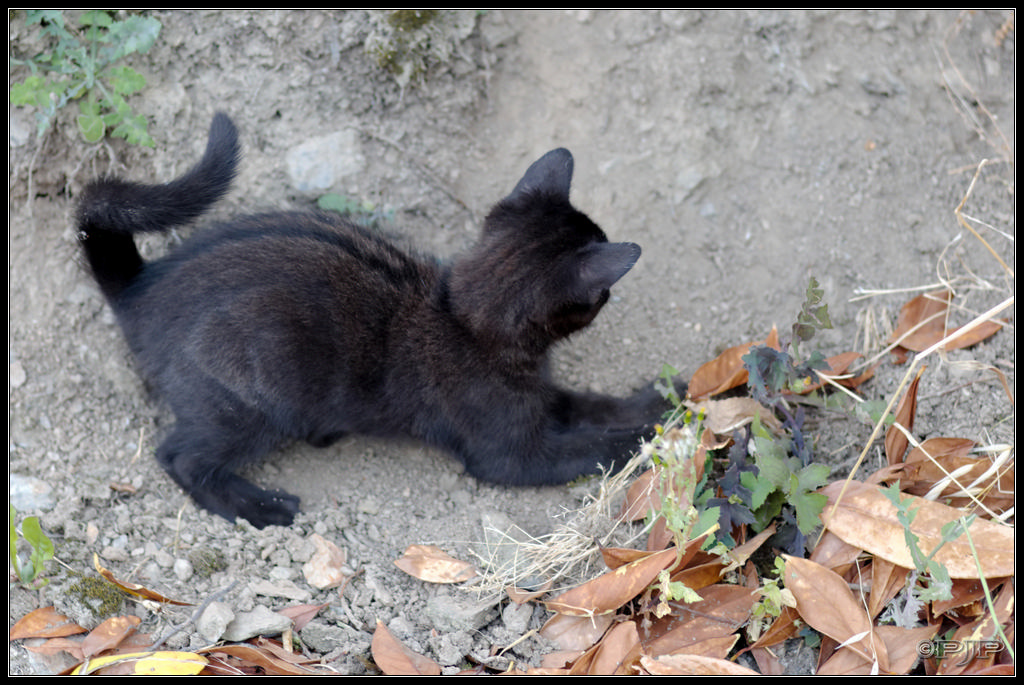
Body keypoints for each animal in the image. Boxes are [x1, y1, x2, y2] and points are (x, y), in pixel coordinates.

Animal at [75, 114, 675, 528]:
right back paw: (260, 506)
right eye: (601, 296)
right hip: (246, 405)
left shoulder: (542, 397)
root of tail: (140, 289)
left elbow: (593, 404)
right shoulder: (509, 454)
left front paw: (661, 400)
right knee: (179, 457)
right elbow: (588, 448)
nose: (609, 297)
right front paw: (649, 437)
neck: (464, 321)